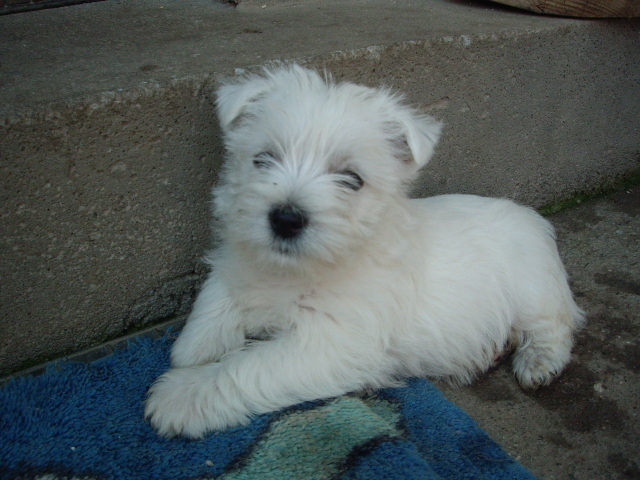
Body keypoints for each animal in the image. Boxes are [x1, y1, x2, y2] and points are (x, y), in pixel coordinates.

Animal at [145, 63, 584, 438]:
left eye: (352, 179)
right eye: (263, 159)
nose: (285, 219)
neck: (297, 271)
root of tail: (530, 216)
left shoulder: (330, 342)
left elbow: (247, 367)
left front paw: (181, 394)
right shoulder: (239, 265)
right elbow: (216, 298)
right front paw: (192, 348)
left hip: (533, 289)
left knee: (555, 325)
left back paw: (537, 362)